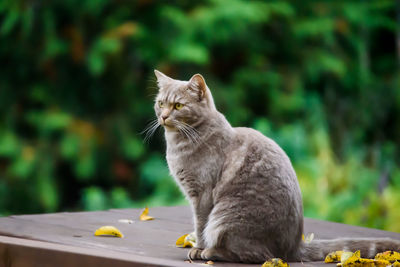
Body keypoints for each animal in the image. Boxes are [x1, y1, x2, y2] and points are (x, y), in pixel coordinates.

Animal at [150, 69, 400, 264]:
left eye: (178, 105)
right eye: (161, 103)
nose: (163, 116)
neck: (180, 143)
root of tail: (294, 247)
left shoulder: (202, 194)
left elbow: (200, 225)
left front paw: (198, 248)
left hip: (225, 217)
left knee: (258, 255)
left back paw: (211, 252)